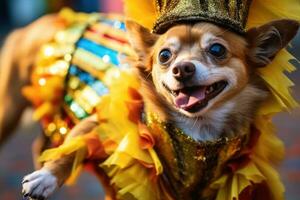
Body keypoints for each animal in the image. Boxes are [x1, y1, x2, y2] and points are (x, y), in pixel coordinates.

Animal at [17, 17, 298, 200]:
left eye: (217, 49)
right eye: (164, 55)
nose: (182, 68)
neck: (198, 128)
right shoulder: (96, 125)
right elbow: (71, 150)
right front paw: (44, 178)